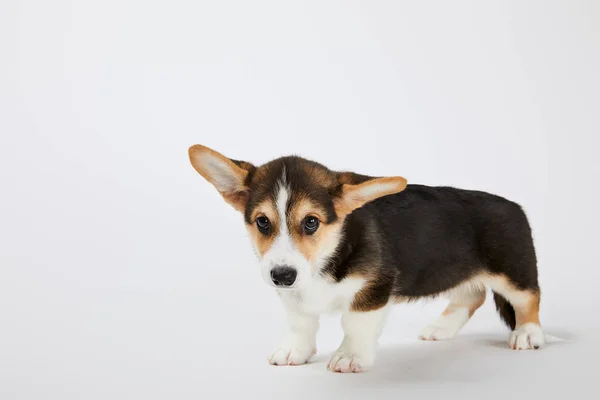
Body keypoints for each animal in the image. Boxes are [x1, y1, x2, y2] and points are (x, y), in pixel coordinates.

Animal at [188, 144, 544, 372]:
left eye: (311, 222)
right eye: (262, 222)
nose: (282, 276)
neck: (327, 255)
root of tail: (515, 205)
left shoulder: (373, 289)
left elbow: (354, 323)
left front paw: (350, 357)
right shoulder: (294, 294)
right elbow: (301, 322)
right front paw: (295, 352)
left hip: (513, 271)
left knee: (528, 298)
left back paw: (527, 334)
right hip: (453, 270)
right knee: (472, 294)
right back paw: (441, 328)